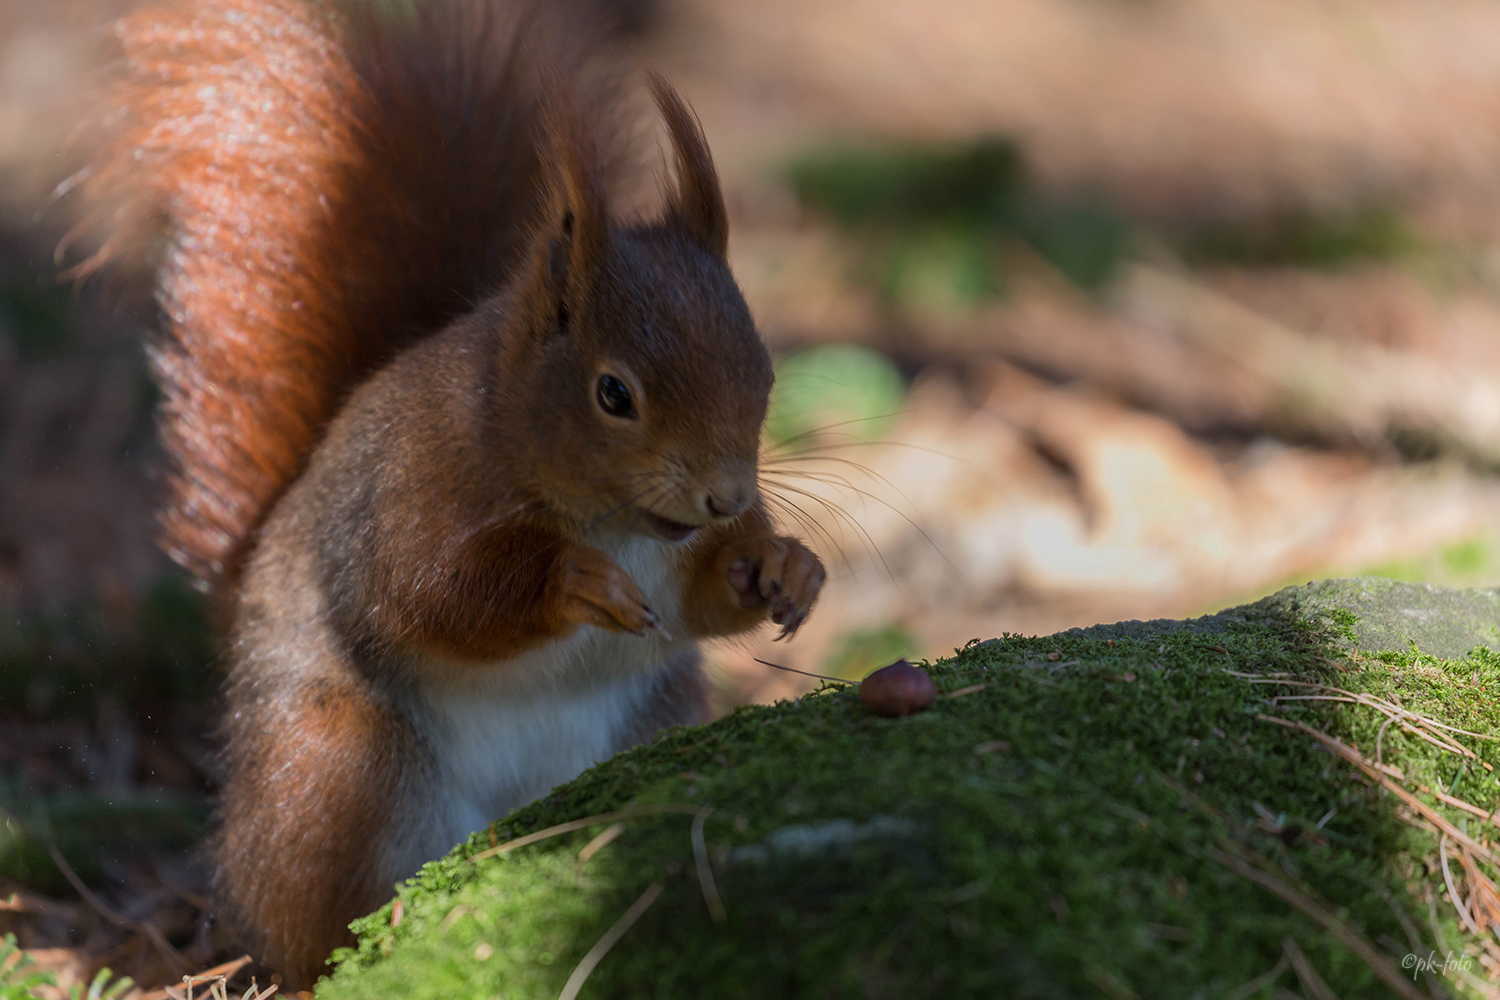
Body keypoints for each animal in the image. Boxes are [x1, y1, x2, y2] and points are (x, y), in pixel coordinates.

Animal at [76, 0, 828, 983]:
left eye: (765, 370)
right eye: (613, 394)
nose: (727, 496)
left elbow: (706, 596)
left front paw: (783, 564)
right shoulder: (416, 487)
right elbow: (428, 593)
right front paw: (571, 581)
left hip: (649, 721)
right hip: (338, 766)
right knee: (313, 925)